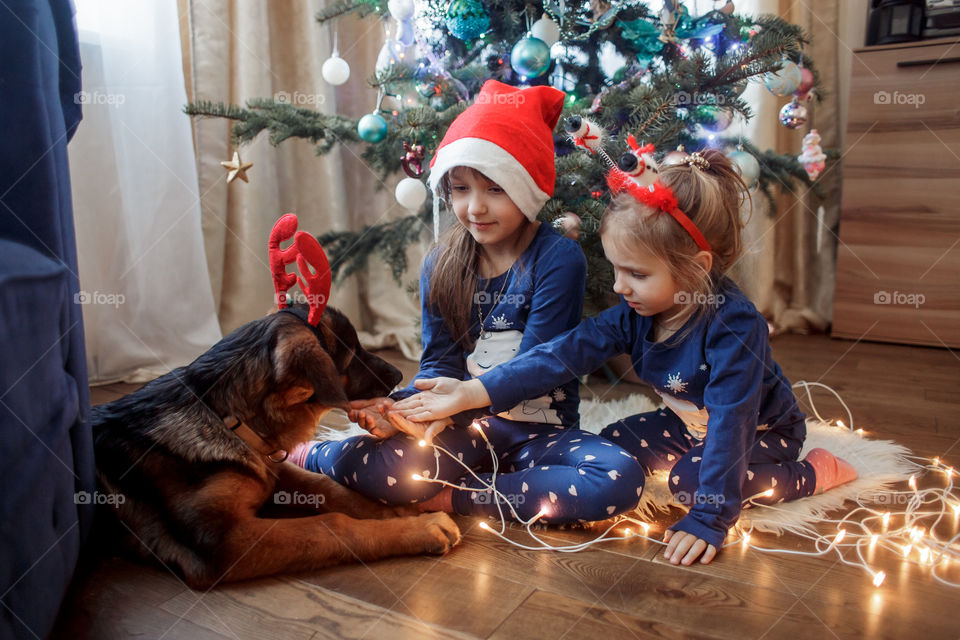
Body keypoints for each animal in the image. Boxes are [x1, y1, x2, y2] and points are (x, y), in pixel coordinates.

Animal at [92, 306, 460, 592]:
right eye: (352, 354)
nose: (400, 374)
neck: (225, 414)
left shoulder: (273, 469)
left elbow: (326, 486)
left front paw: (395, 510)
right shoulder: (222, 541)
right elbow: (332, 524)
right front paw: (418, 528)